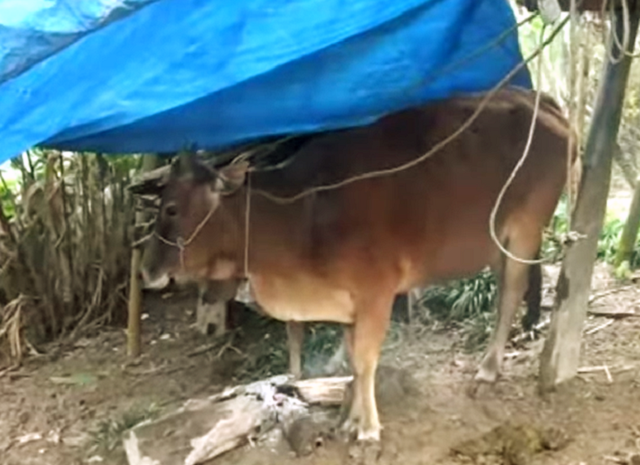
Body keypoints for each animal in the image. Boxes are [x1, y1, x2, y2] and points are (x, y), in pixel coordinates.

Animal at [140, 87, 578, 444]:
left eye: (172, 208)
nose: (147, 270)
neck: (302, 213)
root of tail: (543, 102)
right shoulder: (347, 302)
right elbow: (352, 359)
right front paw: (350, 420)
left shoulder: (376, 294)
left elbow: (366, 360)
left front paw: (367, 429)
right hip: (499, 242)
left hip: (526, 227)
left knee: (511, 292)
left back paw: (487, 370)